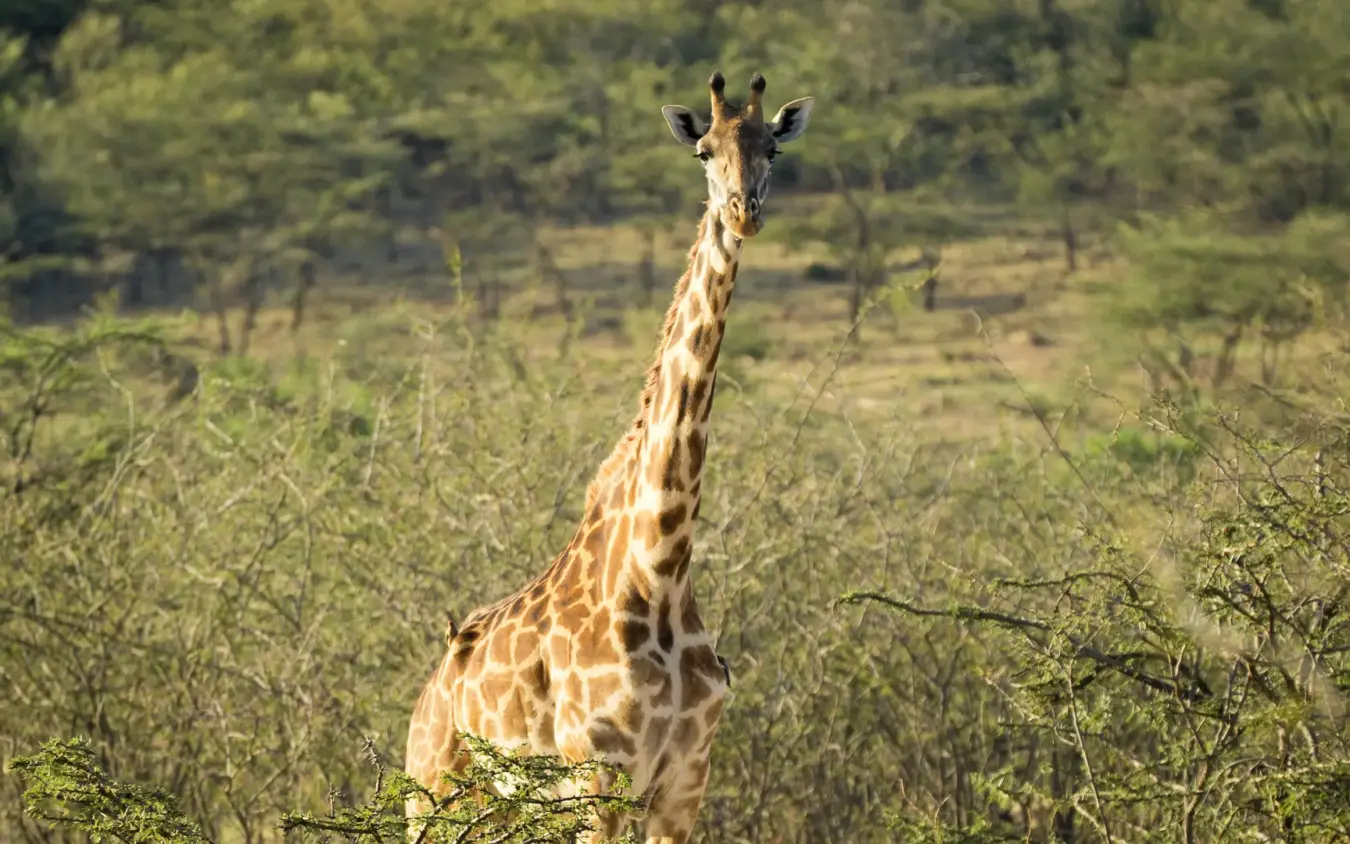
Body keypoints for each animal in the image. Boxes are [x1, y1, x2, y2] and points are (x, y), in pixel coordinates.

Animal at [404, 70, 815, 843]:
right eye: (704, 152)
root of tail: (435, 679)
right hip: (437, 791)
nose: (743, 213)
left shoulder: (684, 784)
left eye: (772, 147)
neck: (659, 569)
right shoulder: (599, 776)